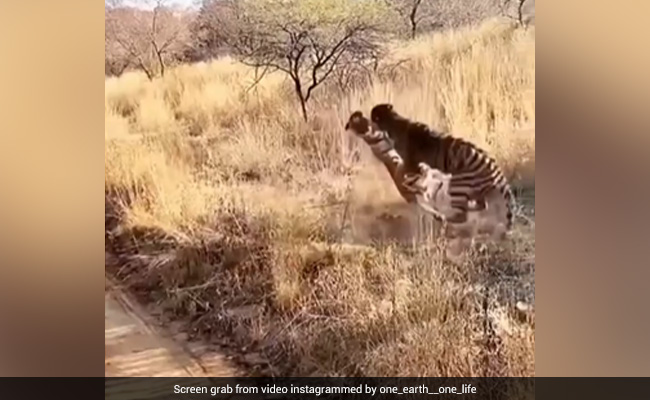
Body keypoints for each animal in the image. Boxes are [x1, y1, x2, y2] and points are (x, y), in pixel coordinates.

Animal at [368, 103, 516, 232]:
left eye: (373, 116)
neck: (394, 121)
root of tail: (497, 170)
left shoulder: (411, 165)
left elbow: (406, 174)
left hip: (457, 185)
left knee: (462, 215)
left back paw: (444, 217)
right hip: (474, 190)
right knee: (481, 206)